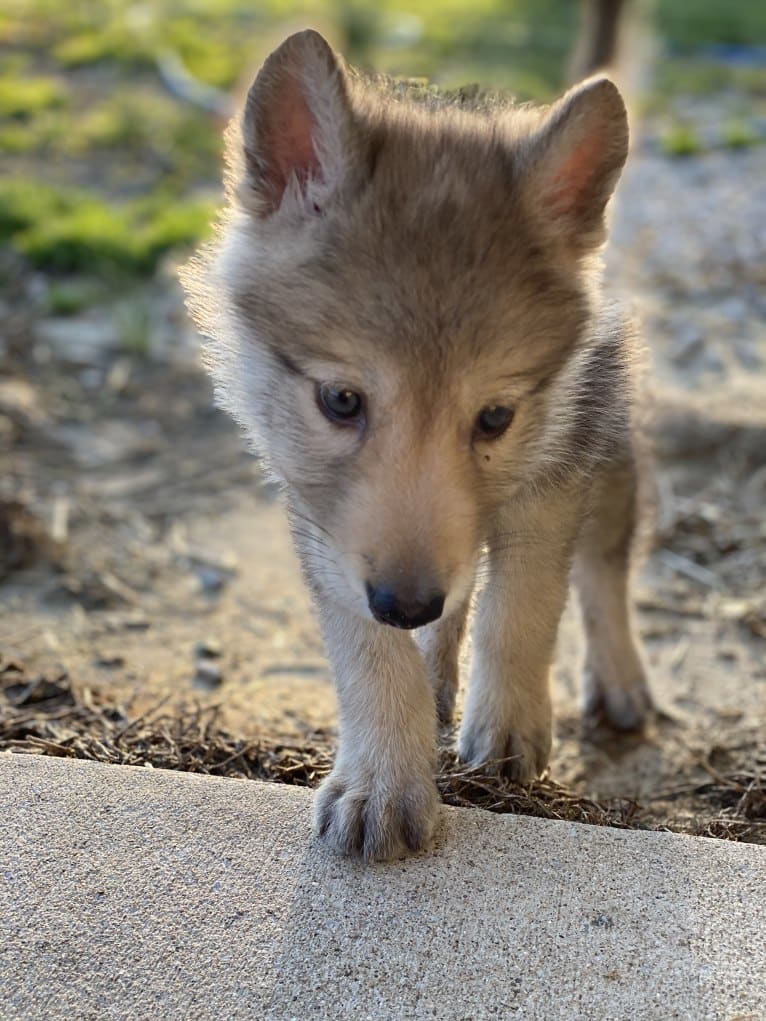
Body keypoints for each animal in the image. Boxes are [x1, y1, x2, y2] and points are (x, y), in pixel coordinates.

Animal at [181, 29, 653, 861]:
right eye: (341, 400)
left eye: (495, 417)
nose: (404, 600)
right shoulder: (325, 519)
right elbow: (370, 655)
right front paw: (382, 781)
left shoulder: (555, 473)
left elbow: (523, 604)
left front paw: (507, 726)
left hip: (611, 445)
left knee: (605, 565)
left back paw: (619, 680)